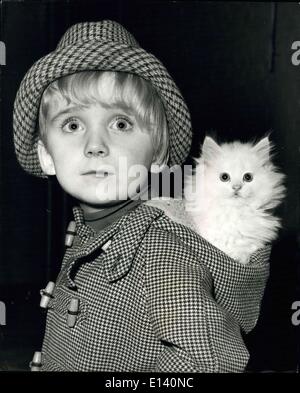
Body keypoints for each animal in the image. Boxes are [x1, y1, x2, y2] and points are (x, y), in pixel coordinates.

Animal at [185, 136, 286, 264]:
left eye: (248, 177)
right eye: (224, 177)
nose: (237, 187)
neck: (234, 212)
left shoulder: (255, 240)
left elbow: (245, 248)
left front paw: (239, 257)